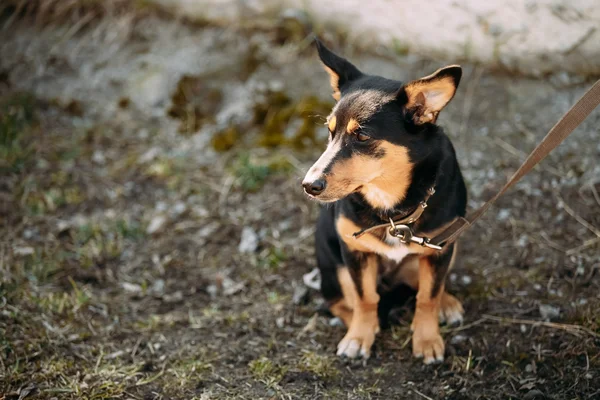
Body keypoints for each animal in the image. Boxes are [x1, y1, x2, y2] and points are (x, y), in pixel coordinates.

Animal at [302, 39, 466, 364]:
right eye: (329, 131)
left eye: (362, 136)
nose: (309, 185)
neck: (390, 207)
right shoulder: (354, 251)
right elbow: (365, 298)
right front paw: (359, 337)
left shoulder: (440, 250)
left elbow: (428, 296)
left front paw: (427, 339)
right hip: (334, 267)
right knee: (339, 302)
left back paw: (447, 303)